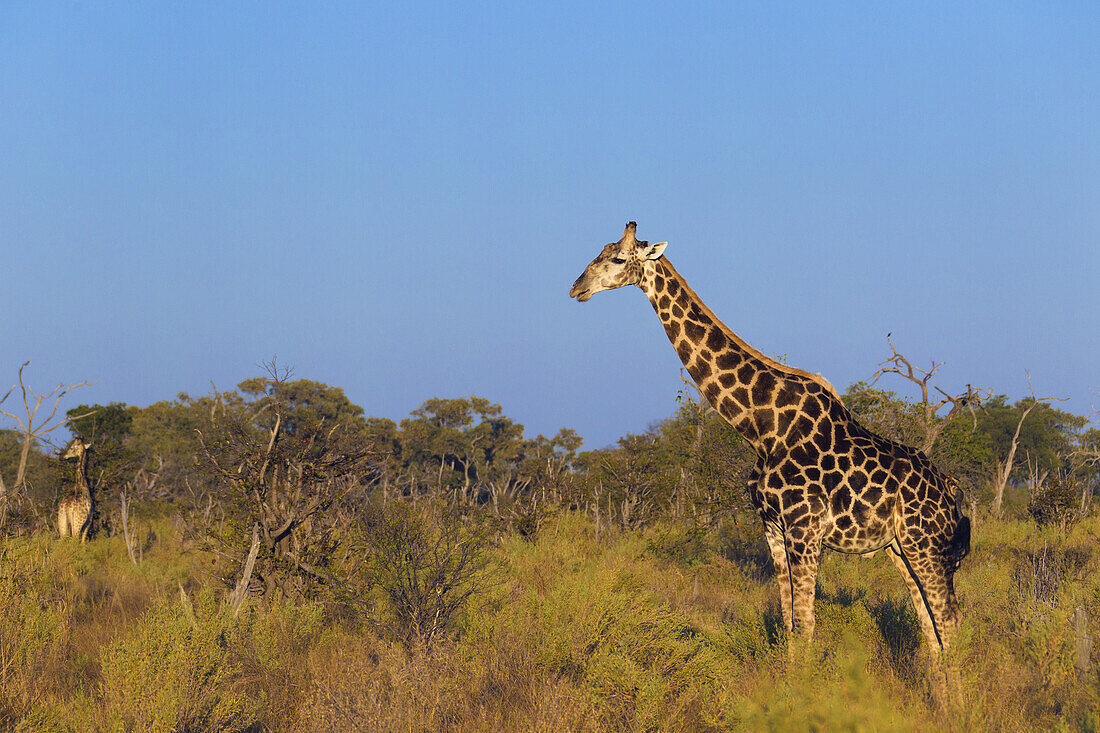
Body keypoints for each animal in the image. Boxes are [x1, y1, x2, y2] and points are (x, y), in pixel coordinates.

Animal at [572, 221, 968, 695]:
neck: (760, 427)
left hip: (927, 545)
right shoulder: (773, 528)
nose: (576, 287)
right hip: (901, 548)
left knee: (950, 621)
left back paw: (963, 703)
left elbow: (808, 624)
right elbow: (789, 623)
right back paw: (941, 699)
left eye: (616, 258)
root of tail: (952, 491)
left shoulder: (804, 531)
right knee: (931, 628)